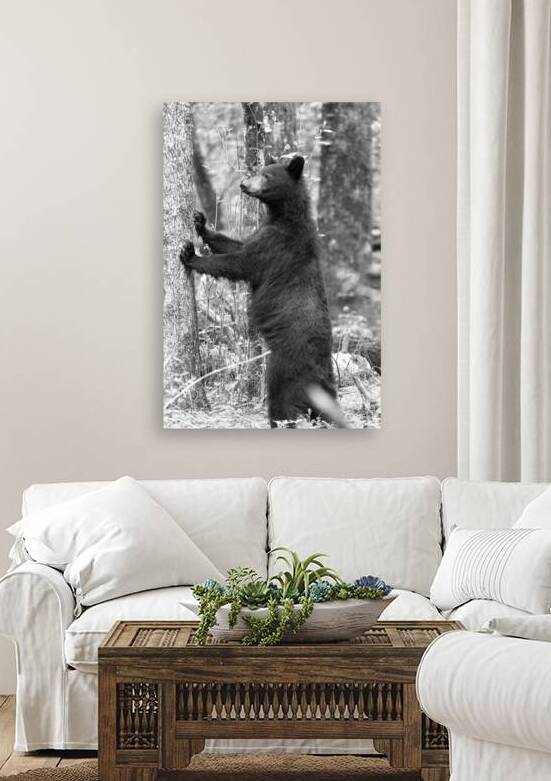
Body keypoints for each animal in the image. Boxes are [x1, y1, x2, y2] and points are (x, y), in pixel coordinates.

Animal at [180, 155, 346, 428]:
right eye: (259, 170)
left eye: (266, 176)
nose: (244, 184)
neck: (284, 216)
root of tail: (320, 366)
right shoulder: (263, 233)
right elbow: (236, 244)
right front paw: (201, 223)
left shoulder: (276, 245)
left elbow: (239, 263)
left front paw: (190, 255)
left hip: (284, 364)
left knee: (281, 400)